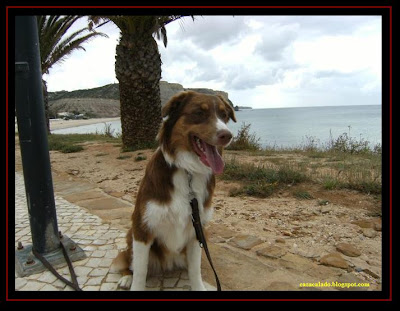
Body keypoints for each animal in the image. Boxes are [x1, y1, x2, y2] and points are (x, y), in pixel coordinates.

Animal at [112, 91, 236, 292]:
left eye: (224, 115)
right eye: (199, 113)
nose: (227, 135)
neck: (187, 171)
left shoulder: (197, 231)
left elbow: (195, 270)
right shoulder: (142, 227)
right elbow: (140, 270)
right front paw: (134, 282)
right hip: (131, 235)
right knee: (129, 262)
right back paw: (126, 278)